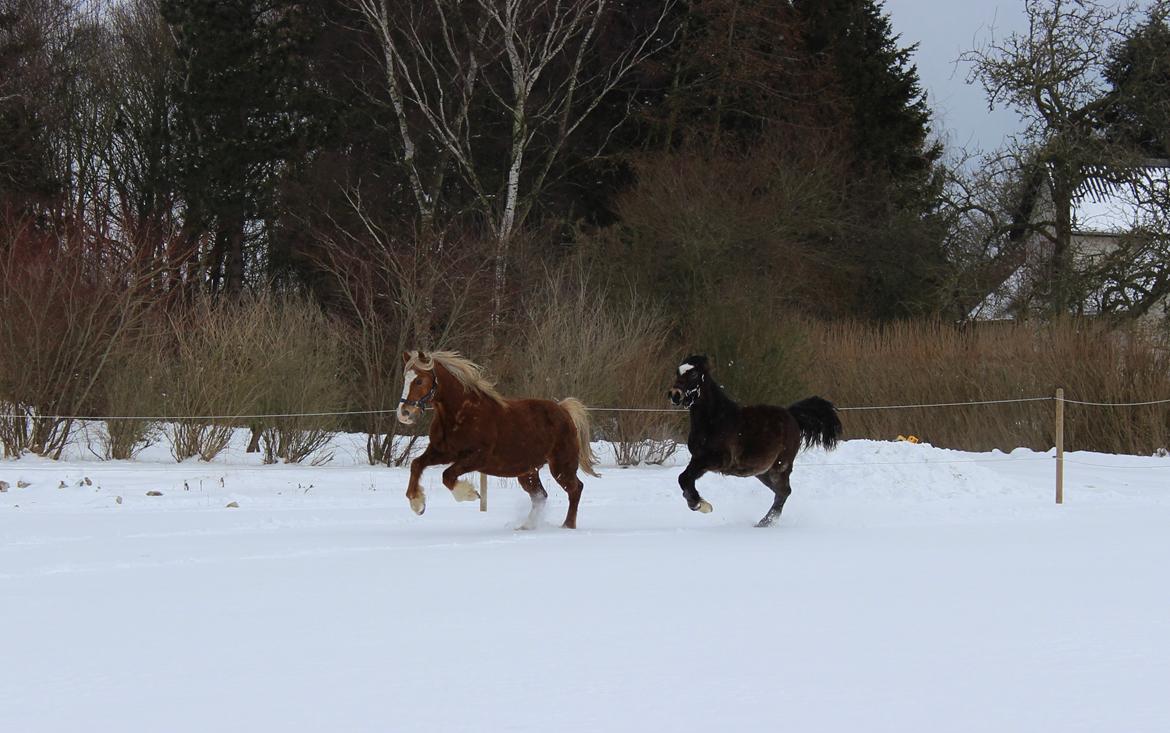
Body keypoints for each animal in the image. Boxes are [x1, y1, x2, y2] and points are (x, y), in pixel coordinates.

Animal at [397, 348, 599, 524]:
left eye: (419, 380)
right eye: (405, 379)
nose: (404, 413)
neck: (461, 413)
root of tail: (564, 410)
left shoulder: (477, 457)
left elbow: (447, 475)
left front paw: (470, 494)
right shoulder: (442, 452)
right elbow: (416, 464)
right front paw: (417, 504)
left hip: (561, 466)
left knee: (575, 489)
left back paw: (567, 526)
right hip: (528, 471)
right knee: (540, 496)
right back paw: (526, 526)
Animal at [669, 353, 842, 524]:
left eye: (693, 373)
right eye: (677, 372)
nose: (674, 394)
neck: (716, 420)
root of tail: (792, 415)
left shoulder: (716, 460)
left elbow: (684, 478)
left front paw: (701, 505)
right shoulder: (698, 459)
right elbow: (684, 478)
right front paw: (698, 503)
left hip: (780, 467)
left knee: (784, 491)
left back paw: (766, 522)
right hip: (763, 471)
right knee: (780, 492)